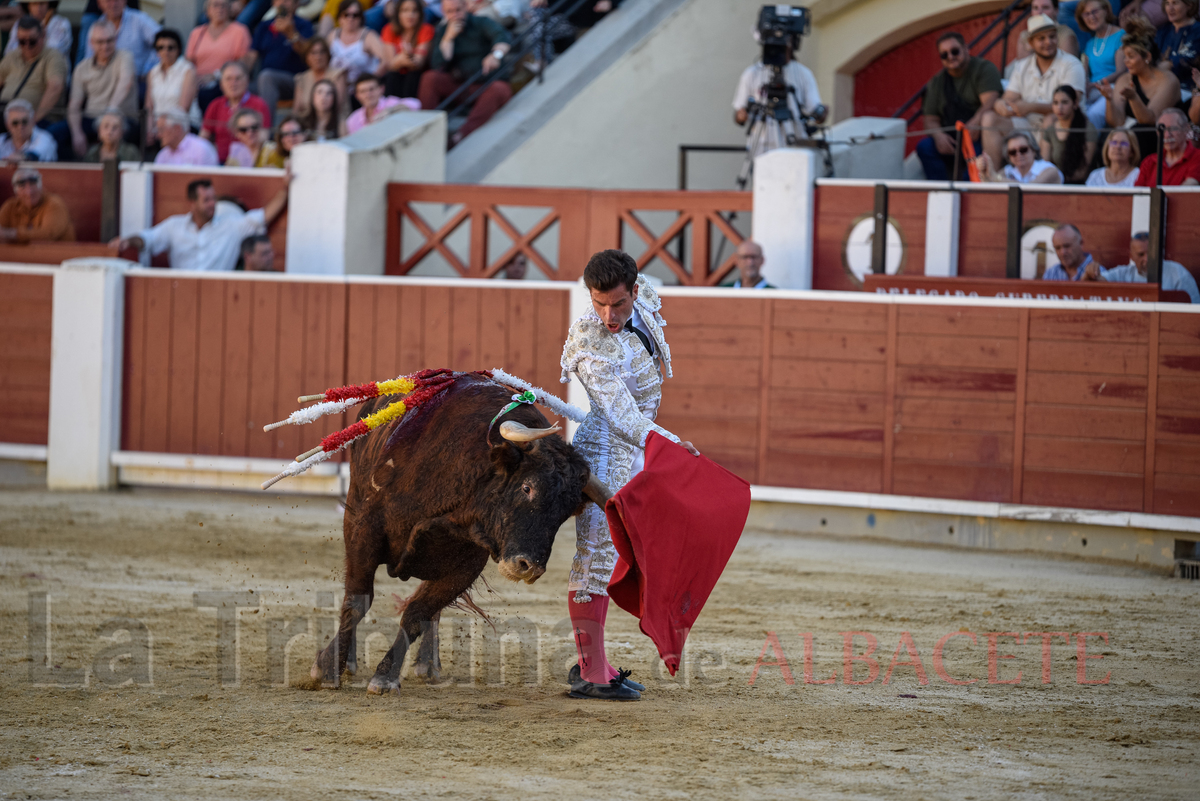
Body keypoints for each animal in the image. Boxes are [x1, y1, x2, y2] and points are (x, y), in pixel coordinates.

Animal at [309, 371, 609, 690]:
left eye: (567, 511)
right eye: (527, 487)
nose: (529, 567)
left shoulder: (466, 565)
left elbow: (417, 613)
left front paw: (385, 676)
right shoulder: (365, 528)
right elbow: (357, 600)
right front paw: (328, 668)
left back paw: (427, 664)